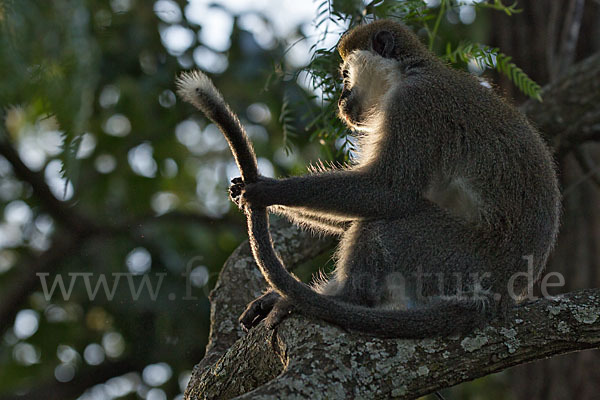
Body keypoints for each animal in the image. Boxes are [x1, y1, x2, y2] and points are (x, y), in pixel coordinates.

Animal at [176, 18, 560, 338]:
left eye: (346, 75)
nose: (342, 97)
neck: (408, 71)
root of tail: (504, 293)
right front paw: (247, 188)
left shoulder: (414, 103)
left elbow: (388, 193)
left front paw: (265, 191)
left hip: (459, 260)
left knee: (385, 225)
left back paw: (345, 298)